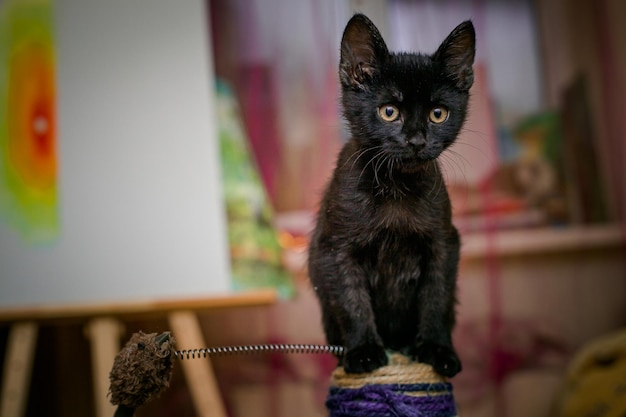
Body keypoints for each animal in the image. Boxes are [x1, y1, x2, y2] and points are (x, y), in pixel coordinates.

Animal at [308, 13, 472, 376]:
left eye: (438, 114)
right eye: (389, 111)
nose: (416, 140)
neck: (396, 187)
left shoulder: (443, 243)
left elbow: (436, 298)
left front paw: (436, 350)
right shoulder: (336, 249)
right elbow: (352, 302)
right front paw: (364, 352)